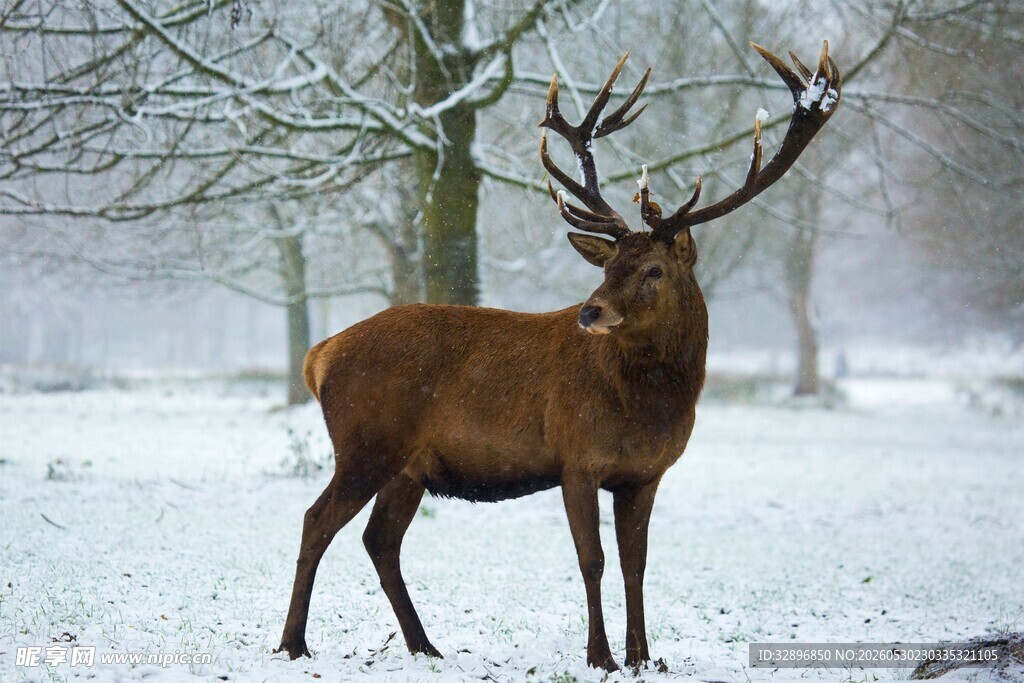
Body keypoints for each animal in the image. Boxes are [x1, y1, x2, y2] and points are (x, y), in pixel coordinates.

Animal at [276, 41, 841, 672]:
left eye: (653, 269)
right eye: (608, 265)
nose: (590, 312)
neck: (648, 407)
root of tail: (319, 355)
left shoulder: (645, 474)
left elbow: (637, 565)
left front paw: (643, 657)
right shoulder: (577, 457)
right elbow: (592, 560)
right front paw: (601, 657)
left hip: (408, 465)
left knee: (379, 539)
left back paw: (426, 646)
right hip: (365, 443)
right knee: (315, 521)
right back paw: (294, 643)